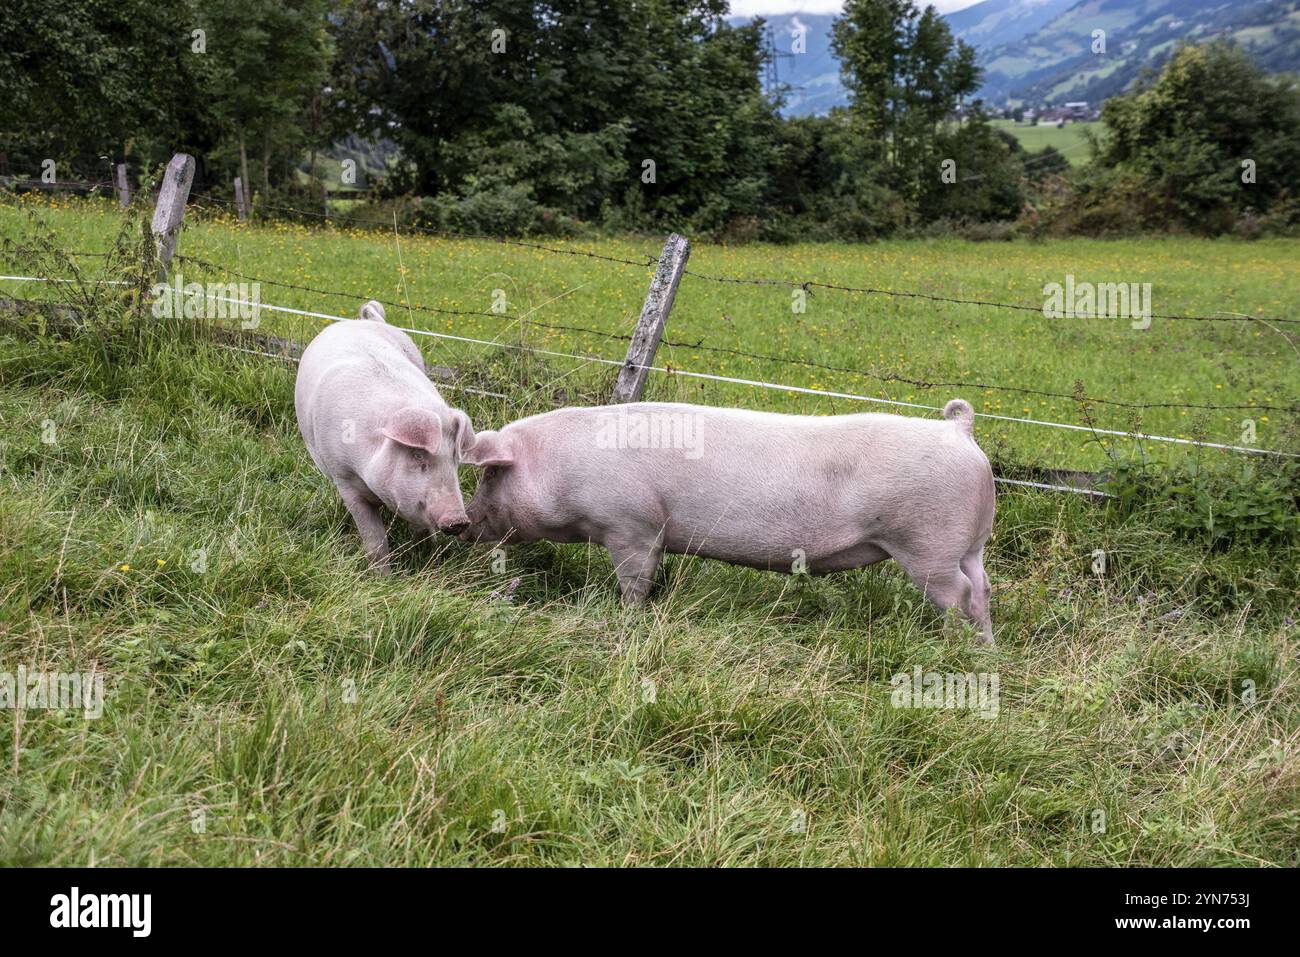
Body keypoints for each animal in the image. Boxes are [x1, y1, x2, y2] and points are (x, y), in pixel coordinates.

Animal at [295, 300, 477, 570]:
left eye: (455, 460)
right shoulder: (344, 477)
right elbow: (375, 542)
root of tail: (364, 320)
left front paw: (423, 558)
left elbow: (420, 529)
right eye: (418, 455)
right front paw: (382, 574)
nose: (459, 520)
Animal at [461, 399, 995, 643]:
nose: (464, 524)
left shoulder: (631, 525)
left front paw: (628, 617)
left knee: (959, 593)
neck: (562, 468)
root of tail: (960, 431)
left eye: (489, 475)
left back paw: (950, 645)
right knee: (983, 590)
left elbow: (635, 579)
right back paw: (983, 650)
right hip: (970, 545)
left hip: (927, 542)